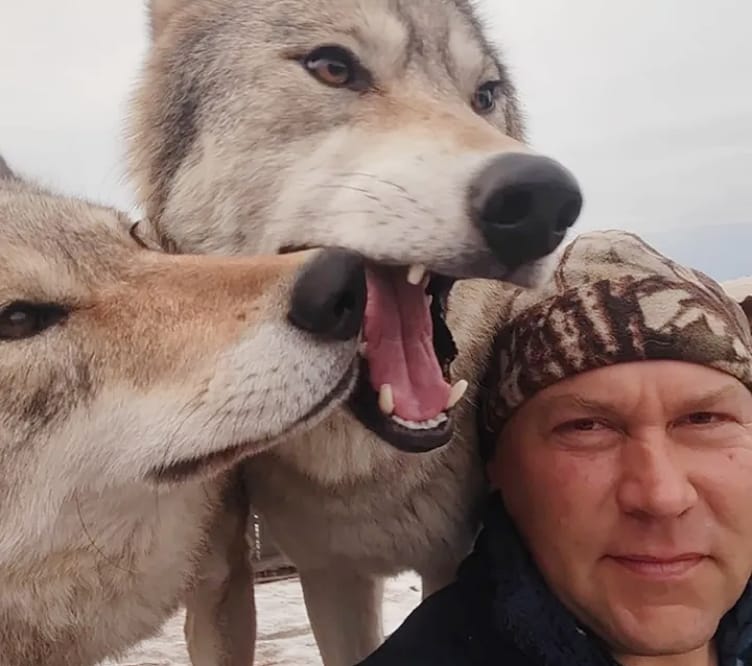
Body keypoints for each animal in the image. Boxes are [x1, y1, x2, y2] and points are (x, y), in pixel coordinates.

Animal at [127, 1, 584, 663]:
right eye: (332, 67)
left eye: (484, 96)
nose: (544, 201)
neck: (366, 476)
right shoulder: (329, 574)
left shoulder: (452, 563)